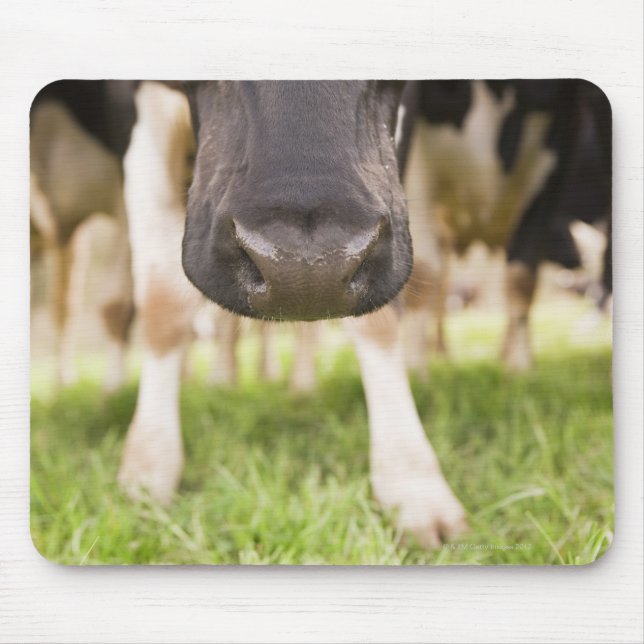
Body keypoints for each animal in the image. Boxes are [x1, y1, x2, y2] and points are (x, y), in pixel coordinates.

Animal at [397, 79, 612, 374]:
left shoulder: (556, 146)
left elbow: (522, 275)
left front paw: (520, 370)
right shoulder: (416, 156)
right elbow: (425, 271)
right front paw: (415, 370)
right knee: (441, 283)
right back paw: (440, 354)